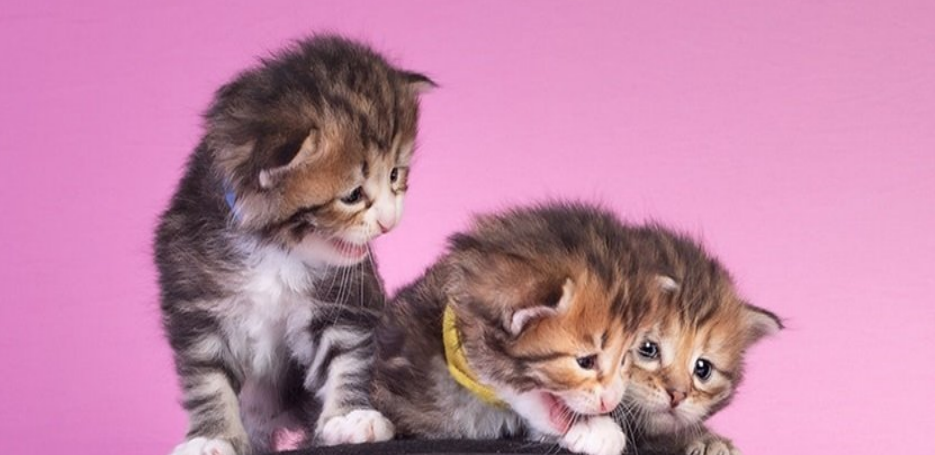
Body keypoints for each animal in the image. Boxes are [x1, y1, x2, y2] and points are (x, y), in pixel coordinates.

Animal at [154, 35, 433, 455]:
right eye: (352, 196)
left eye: (396, 175)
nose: (389, 222)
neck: (276, 249)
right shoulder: (197, 303)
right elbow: (207, 380)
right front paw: (212, 436)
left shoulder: (348, 299)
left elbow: (348, 358)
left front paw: (351, 417)